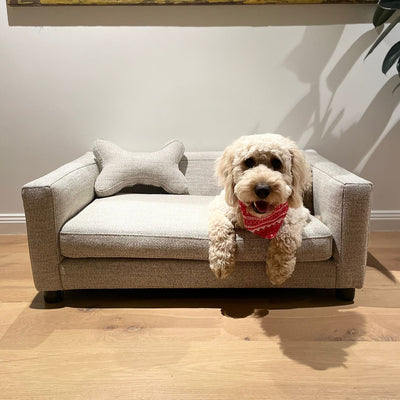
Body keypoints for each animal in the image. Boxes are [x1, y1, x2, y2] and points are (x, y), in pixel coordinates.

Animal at [209, 134, 312, 284]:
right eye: (249, 161)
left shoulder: (298, 214)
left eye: (277, 163)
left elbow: (285, 236)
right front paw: (221, 262)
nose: (262, 189)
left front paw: (278, 270)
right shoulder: (218, 209)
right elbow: (220, 228)